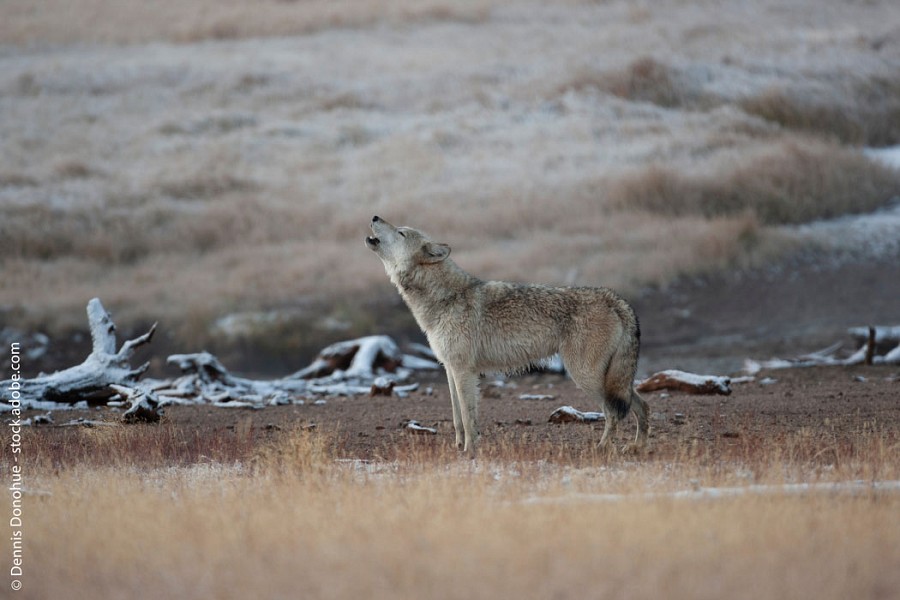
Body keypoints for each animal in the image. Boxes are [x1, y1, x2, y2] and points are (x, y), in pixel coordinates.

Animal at [366, 216, 648, 454]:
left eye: (401, 232)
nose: (375, 217)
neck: (445, 298)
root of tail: (615, 299)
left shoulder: (464, 371)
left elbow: (468, 418)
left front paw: (470, 452)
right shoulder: (450, 369)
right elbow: (457, 418)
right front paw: (458, 448)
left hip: (586, 378)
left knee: (613, 412)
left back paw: (602, 448)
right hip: (609, 381)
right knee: (641, 405)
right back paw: (637, 447)